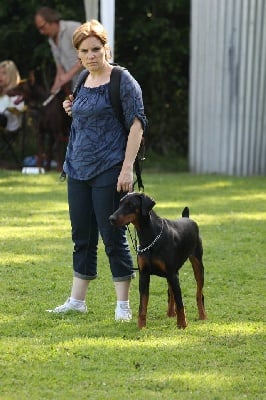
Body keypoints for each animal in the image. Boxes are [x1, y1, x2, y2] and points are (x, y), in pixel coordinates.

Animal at [109, 192, 207, 330]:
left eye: (130, 205)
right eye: (120, 203)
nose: (111, 218)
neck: (150, 237)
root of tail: (187, 218)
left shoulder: (172, 273)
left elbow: (180, 302)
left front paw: (182, 324)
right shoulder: (144, 275)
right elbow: (142, 304)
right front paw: (141, 327)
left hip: (197, 265)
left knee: (199, 293)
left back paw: (202, 315)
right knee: (171, 292)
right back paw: (171, 313)